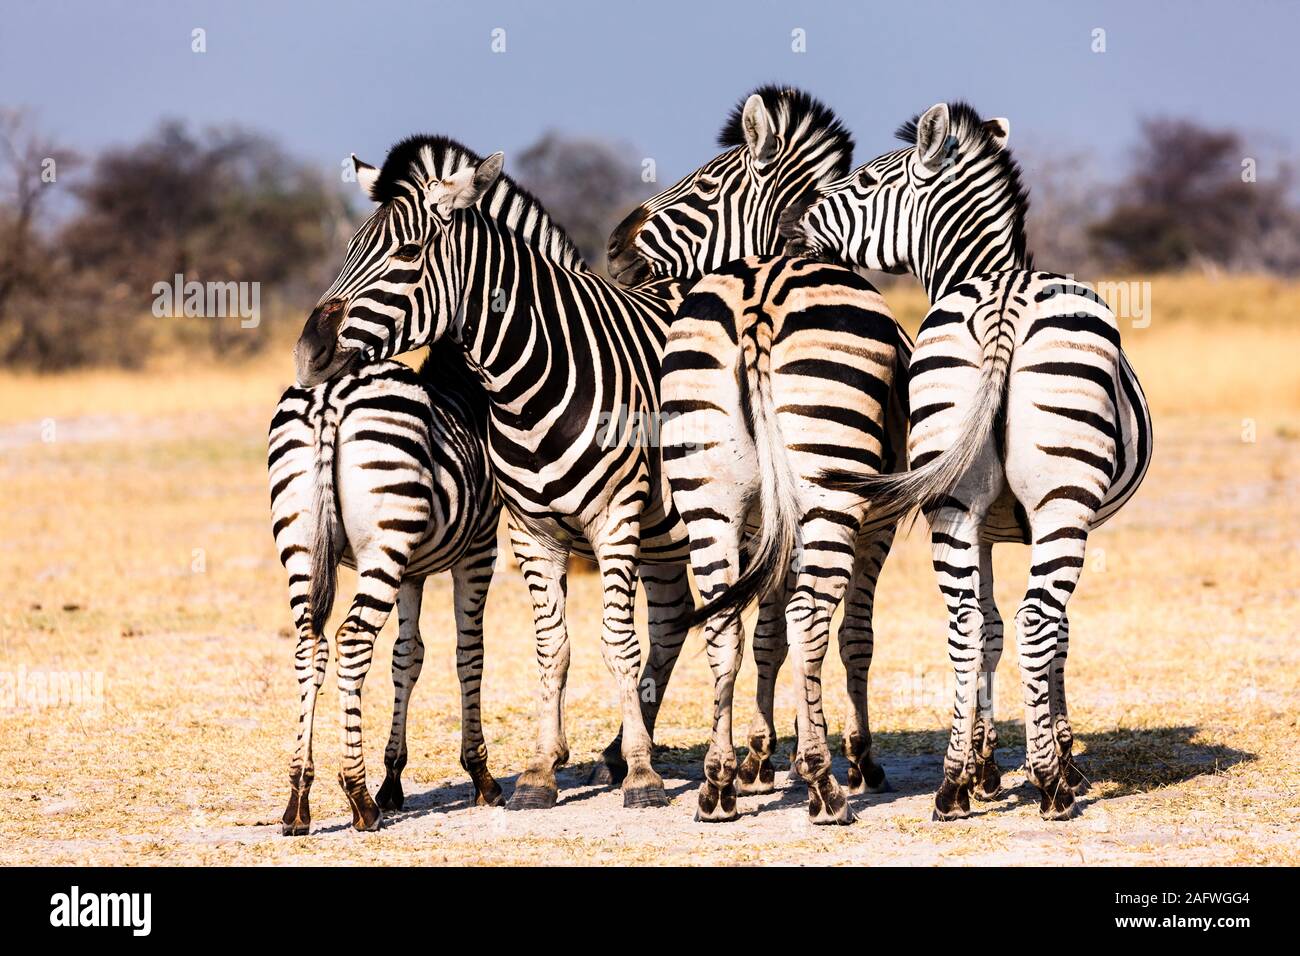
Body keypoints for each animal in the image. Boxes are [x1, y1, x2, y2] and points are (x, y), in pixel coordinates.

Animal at [269, 348, 501, 832]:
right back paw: (358, 797)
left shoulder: (411, 573)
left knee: (310, 645)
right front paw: (481, 774)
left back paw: (298, 797)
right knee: (352, 640)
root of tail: (329, 396)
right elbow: (469, 654)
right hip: (384, 545)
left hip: (305, 549)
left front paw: (392, 777)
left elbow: (407, 656)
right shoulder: (479, 549)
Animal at [295, 134, 702, 816]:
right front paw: (541, 770)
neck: (529, 384)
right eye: (350, 245)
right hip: (666, 535)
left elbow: (616, 642)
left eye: (407, 252)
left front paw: (645, 778)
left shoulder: (614, 519)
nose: (308, 354)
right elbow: (551, 647)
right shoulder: (531, 531)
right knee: (679, 620)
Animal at [603, 85, 909, 827]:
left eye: (705, 184)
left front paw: (758, 758)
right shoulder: (877, 522)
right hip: (829, 488)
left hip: (708, 493)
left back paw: (715, 785)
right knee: (810, 616)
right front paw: (843, 758)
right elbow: (848, 634)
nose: (615, 246)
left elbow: (764, 632)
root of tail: (759, 297)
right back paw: (826, 788)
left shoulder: (762, 521)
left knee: (720, 619)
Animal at [780, 102, 1159, 822]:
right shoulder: (1036, 521)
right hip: (1061, 503)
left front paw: (983, 768)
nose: (790, 223)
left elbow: (987, 630)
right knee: (1038, 621)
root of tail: (1006, 298)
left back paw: (952, 783)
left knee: (962, 624)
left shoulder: (982, 523)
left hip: (951, 500)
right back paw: (1050, 787)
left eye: (864, 181)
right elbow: (1055, 633)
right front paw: (1058, 757)